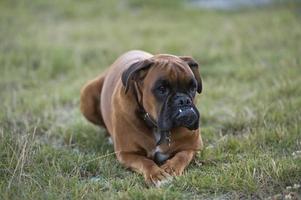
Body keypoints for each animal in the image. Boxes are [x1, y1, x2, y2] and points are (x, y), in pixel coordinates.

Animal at [79, 49, 202, 186]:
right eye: (162, 89)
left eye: (193, 87)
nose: (183, 100)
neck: (156, 127)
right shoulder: (127, 153)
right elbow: (146, 161)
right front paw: (157, 175)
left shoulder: (193, 147)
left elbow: (181, 157)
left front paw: (170, 169)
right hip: (86, 94)